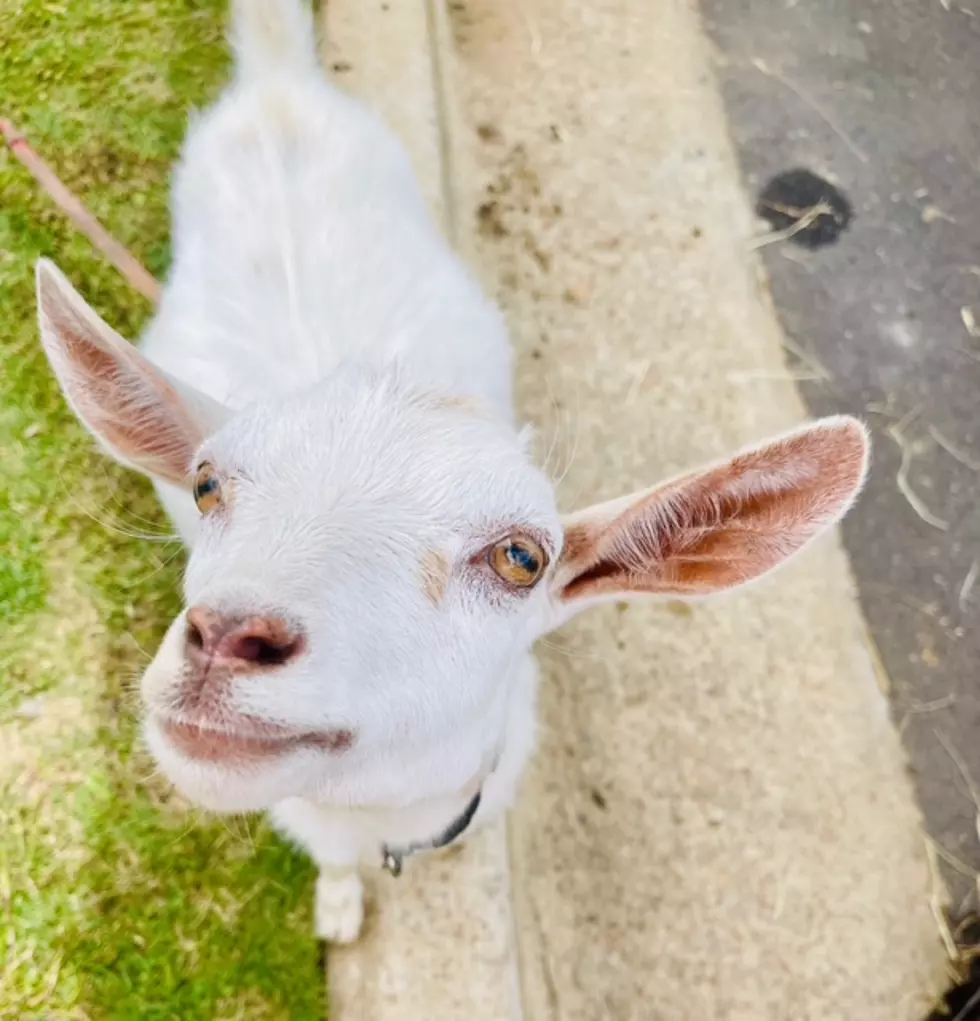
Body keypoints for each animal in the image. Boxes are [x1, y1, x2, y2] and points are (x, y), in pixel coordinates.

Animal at [34, 0, 869, 943]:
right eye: (208, 484)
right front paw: (338, 908)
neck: (383, 822)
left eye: (522, 557)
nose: (227, 637)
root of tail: (278, 88)